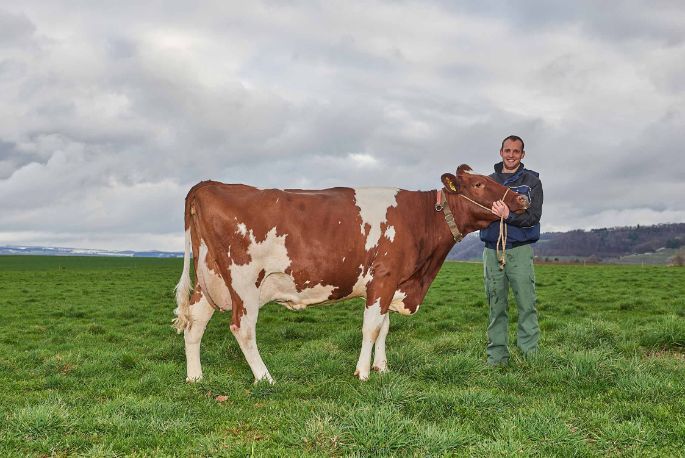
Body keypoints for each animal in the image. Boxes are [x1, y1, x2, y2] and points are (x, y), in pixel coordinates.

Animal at [173, 164, 529, 383]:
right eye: (480, 184)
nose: (521, 197)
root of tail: (208, 185)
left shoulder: (392, 282)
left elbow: (384, 327)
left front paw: (382, 368)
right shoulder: (384, 277)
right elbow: (371, 328)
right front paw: (363, 373)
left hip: (210, 278)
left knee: (194, 323)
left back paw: (195, 377)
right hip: (244, 281)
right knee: (242, 328)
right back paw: (265, 378)